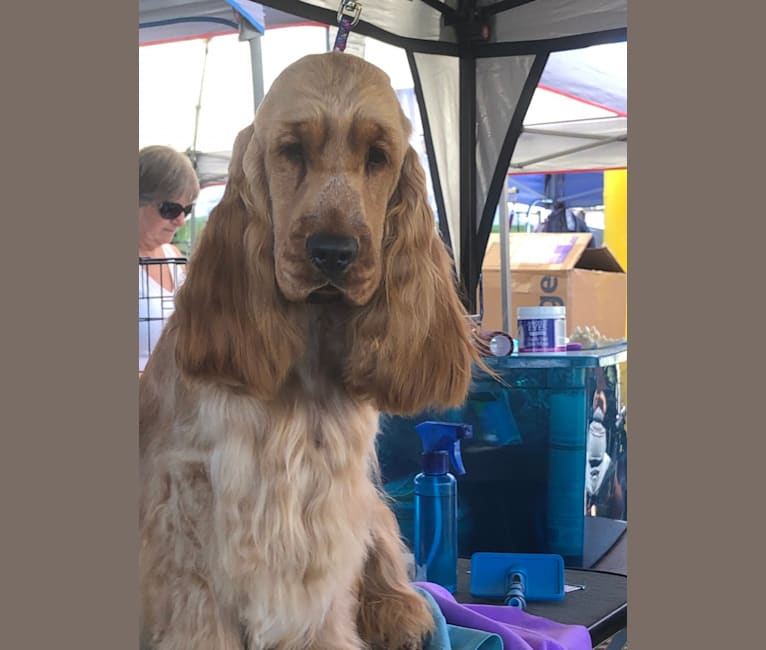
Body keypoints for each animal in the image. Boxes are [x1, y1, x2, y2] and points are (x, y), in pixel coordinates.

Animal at [140, 52, 480, 648]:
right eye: (292, 149)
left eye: (378, 156)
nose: (333, 252)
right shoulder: (189, 526)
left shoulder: (327, 526)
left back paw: (402, 612)